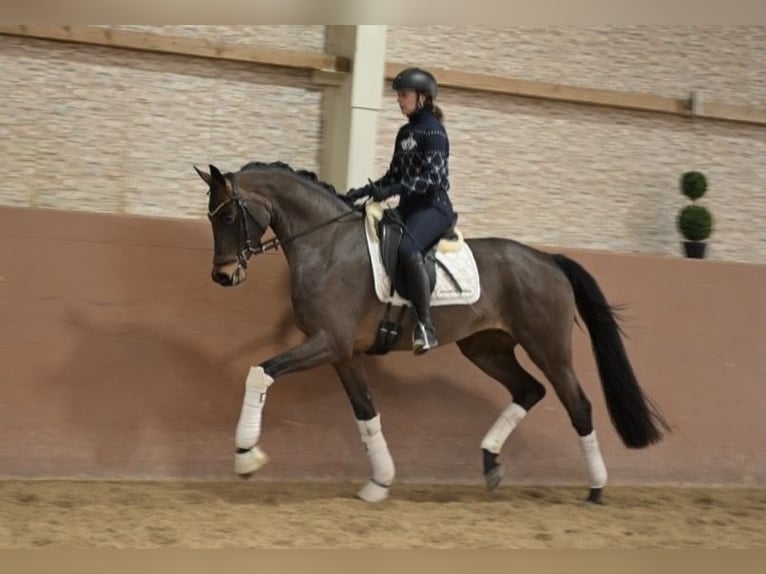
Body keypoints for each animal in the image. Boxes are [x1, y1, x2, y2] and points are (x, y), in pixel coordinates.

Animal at [194, 161, 670, 504]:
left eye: (229, 214)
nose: (222, 276)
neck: (326, 245)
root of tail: (548, 260)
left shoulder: (328, 342)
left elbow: (261, 372)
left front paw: (246, 456)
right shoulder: (344, 354)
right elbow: (366, 413)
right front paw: (379, 483)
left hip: (548, 348)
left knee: (579, 406)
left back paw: (596, 488)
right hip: (486, 349)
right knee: (529, 391)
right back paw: (491, 463)